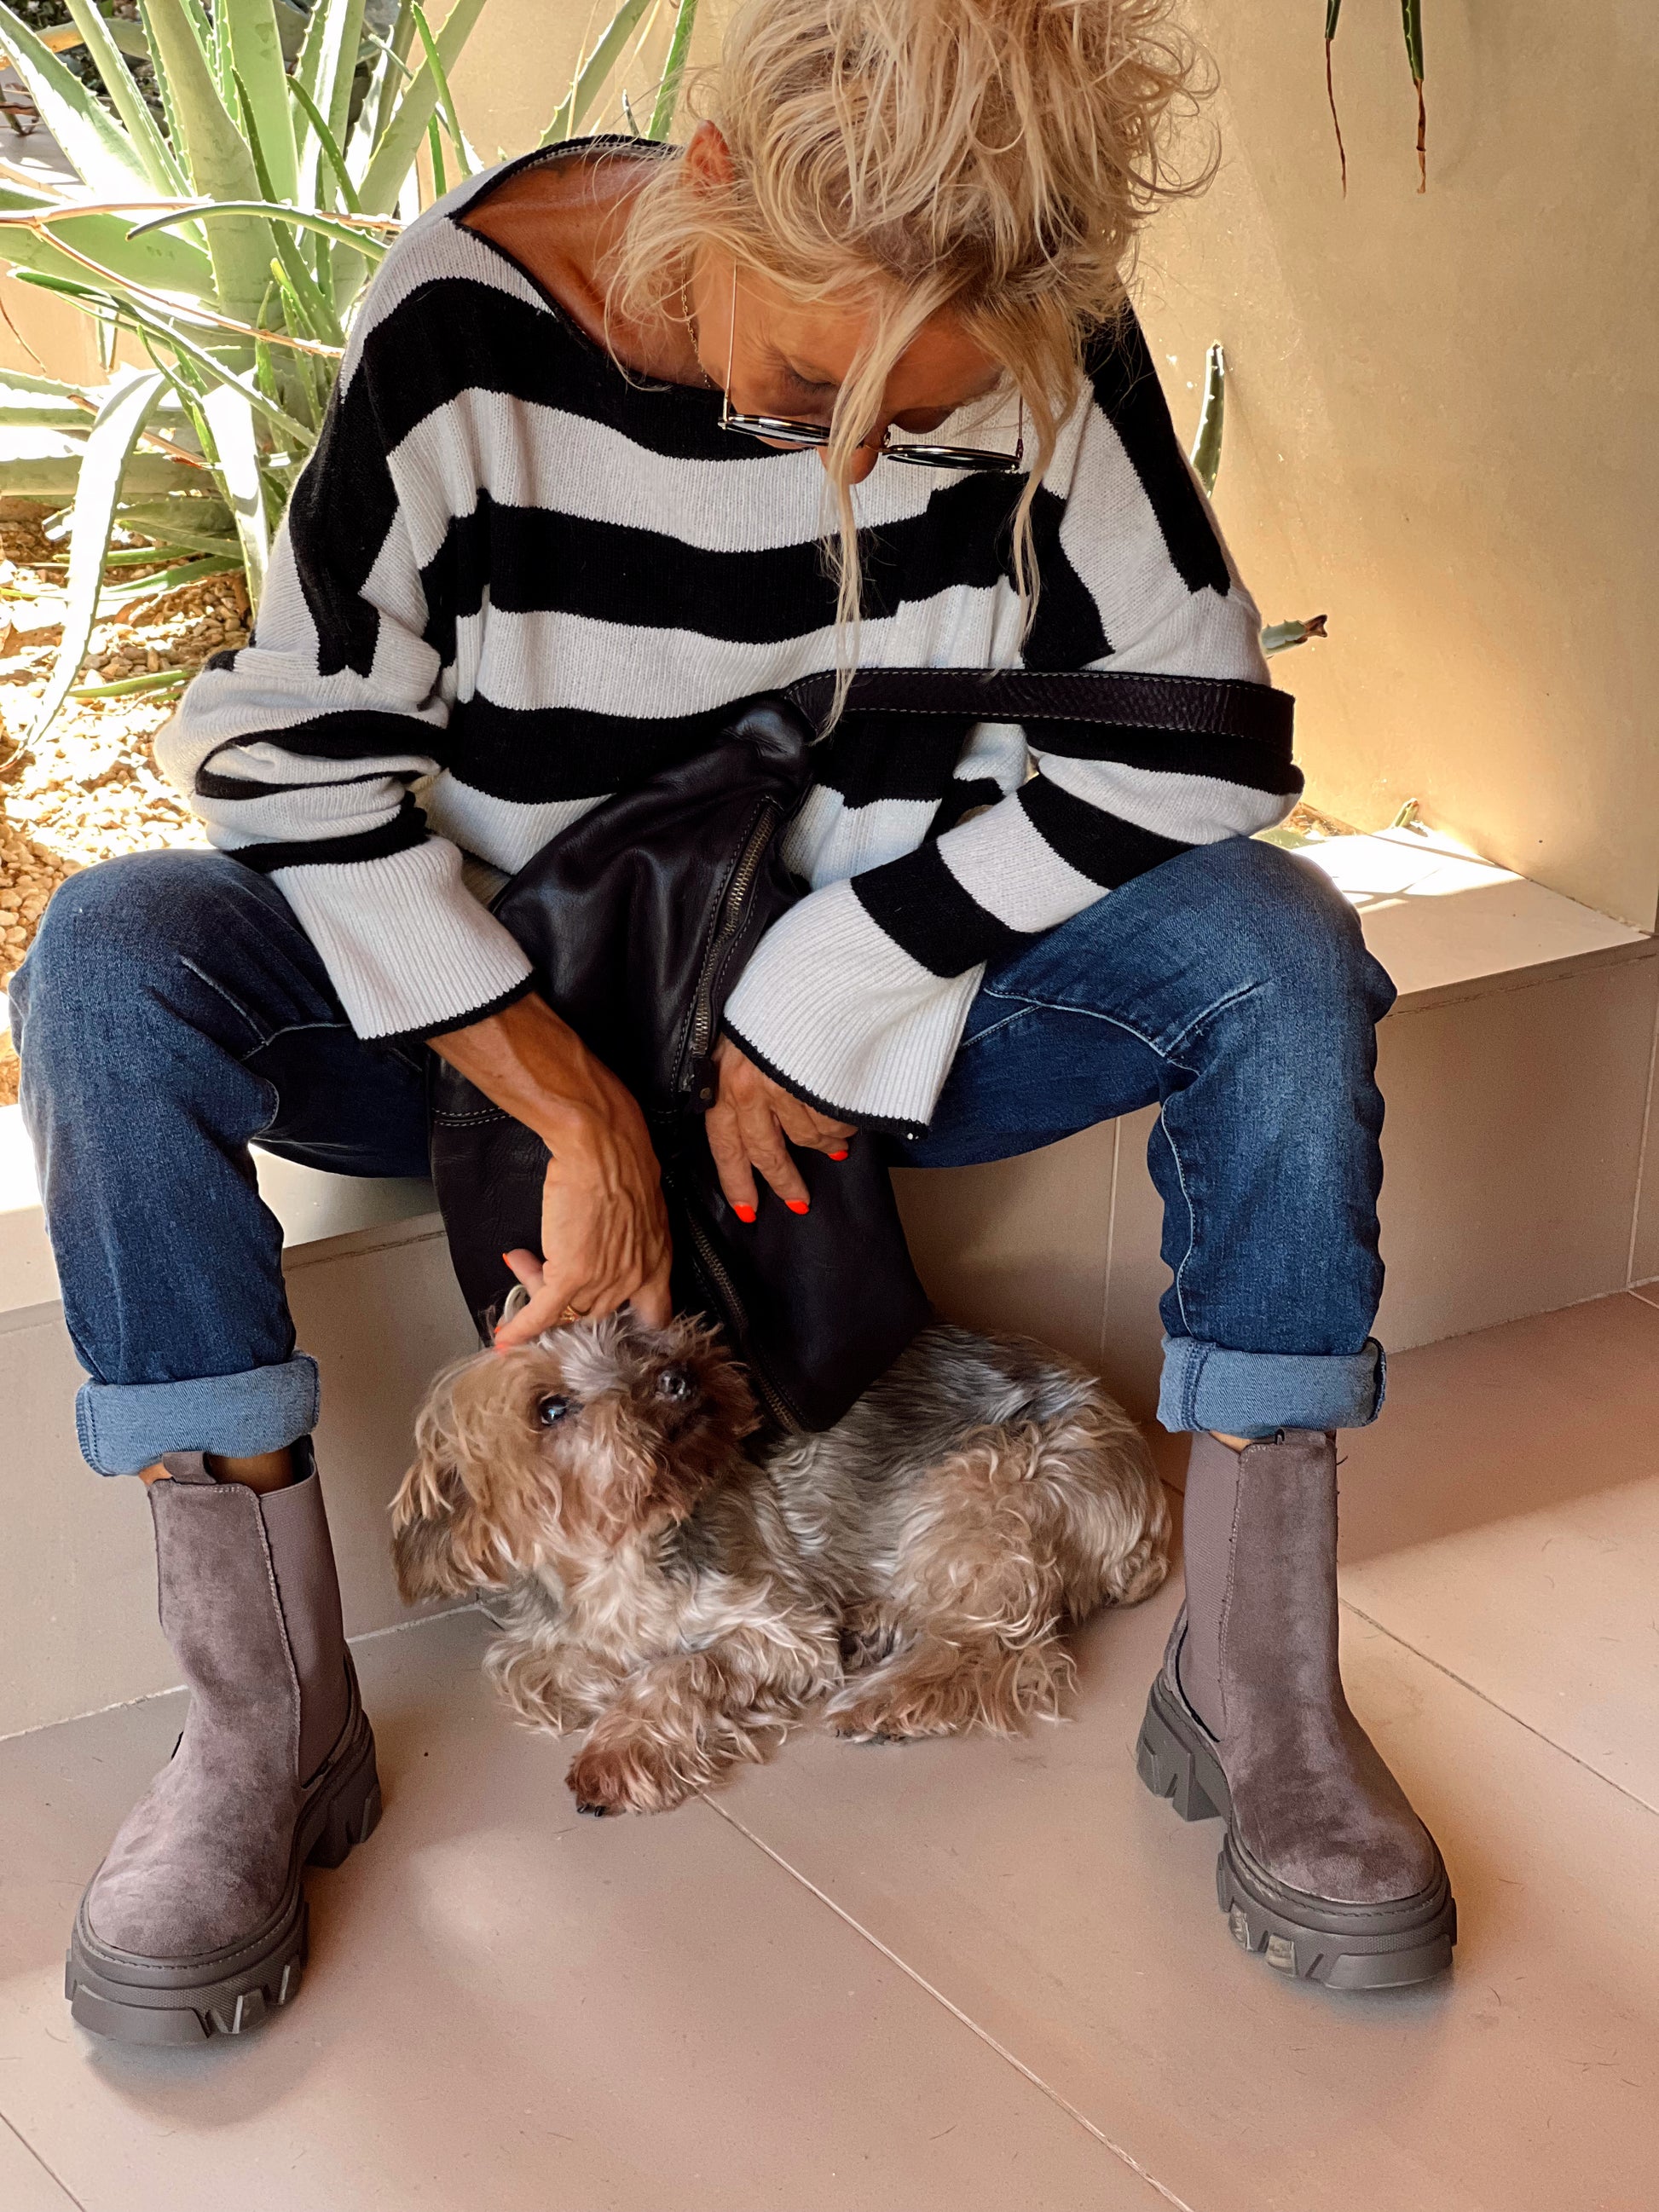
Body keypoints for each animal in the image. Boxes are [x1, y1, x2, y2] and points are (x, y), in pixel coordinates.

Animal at [391, 1313, 1169, 1816]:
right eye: (549, 1409)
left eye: (628, 1334)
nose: (675, 1373)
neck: (620, 1556)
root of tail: (1144, 1475)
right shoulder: (536, 1652)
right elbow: (562, 1673)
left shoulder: (776, 1624)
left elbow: (679, 1667)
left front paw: (621, 1746)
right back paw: (877, 1622)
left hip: (986, 1480)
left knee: (1000, 1645)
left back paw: (888, 1698)